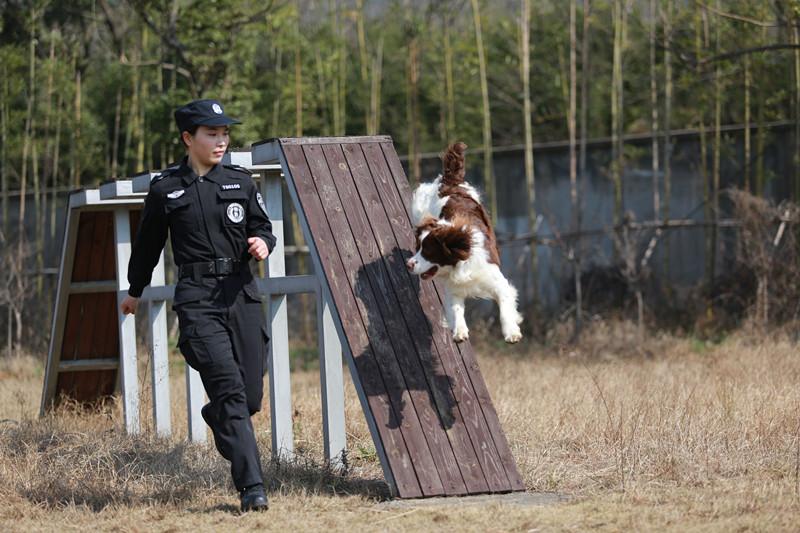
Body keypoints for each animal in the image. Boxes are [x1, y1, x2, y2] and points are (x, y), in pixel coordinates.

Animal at [406, 142, 524, 340]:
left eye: (428, 251)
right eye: (417, 248)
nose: (408, 264)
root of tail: (450, 181)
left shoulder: (496, 280)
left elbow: (505, 303)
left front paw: (511, 332)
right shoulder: (453, 288)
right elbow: (455, 309)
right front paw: (459, 331)